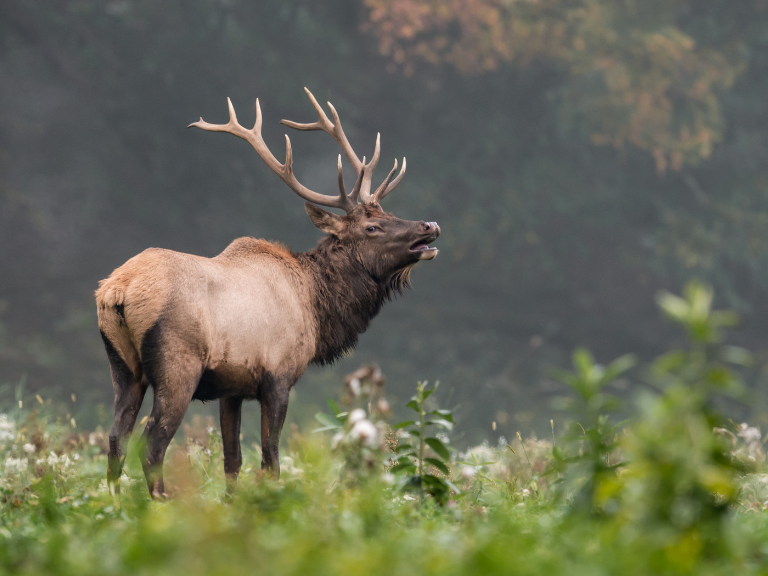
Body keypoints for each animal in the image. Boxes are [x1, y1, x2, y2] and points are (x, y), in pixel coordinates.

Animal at [97, 88, 438, 498]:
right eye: (372, 227)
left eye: (389, 213)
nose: (430, 225)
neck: (316, 307)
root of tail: (117, 290)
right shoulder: (278, 375)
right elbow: (270, 460)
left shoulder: (231, 387)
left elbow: (232, 461)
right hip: (177, 365)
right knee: (151, 445)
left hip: (124, 367)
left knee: (115, 439)